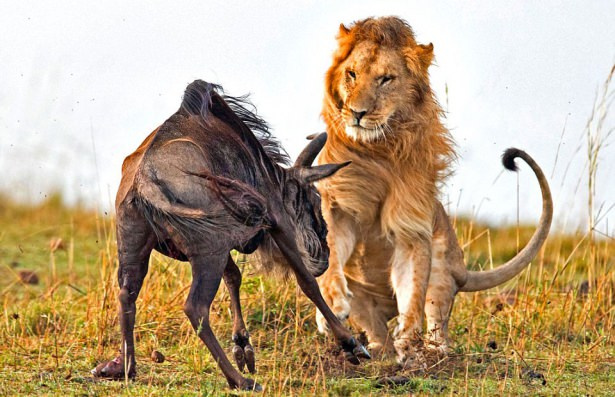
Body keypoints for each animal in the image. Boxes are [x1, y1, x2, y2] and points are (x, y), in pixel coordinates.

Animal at [312, 17, 552, 366]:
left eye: (386, 79)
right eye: (352, 74)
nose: (357, 113)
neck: (377, 150)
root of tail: (463, 270)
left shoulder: (411, 227)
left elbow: (412, 293)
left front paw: (410, 346)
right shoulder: (336, 207)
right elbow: (330, 258)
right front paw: (331, 305)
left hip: (441, 269)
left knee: (437, 321)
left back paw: (432, 352)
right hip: (366, 304)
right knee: (377, 331)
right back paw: (372, 350)